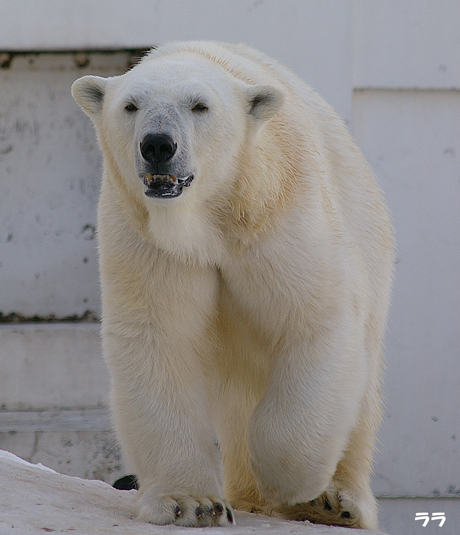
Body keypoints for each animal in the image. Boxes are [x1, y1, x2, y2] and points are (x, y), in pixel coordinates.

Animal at [71, 39, 392, 528]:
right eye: (130, 105)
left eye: (199, 105)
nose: (158, 144)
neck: (210, 220)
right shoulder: (150, 240)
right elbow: (159, 336)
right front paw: (192, 502)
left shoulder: (276, 218)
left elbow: (313, 317)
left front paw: (291, 483)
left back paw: (337, 501)